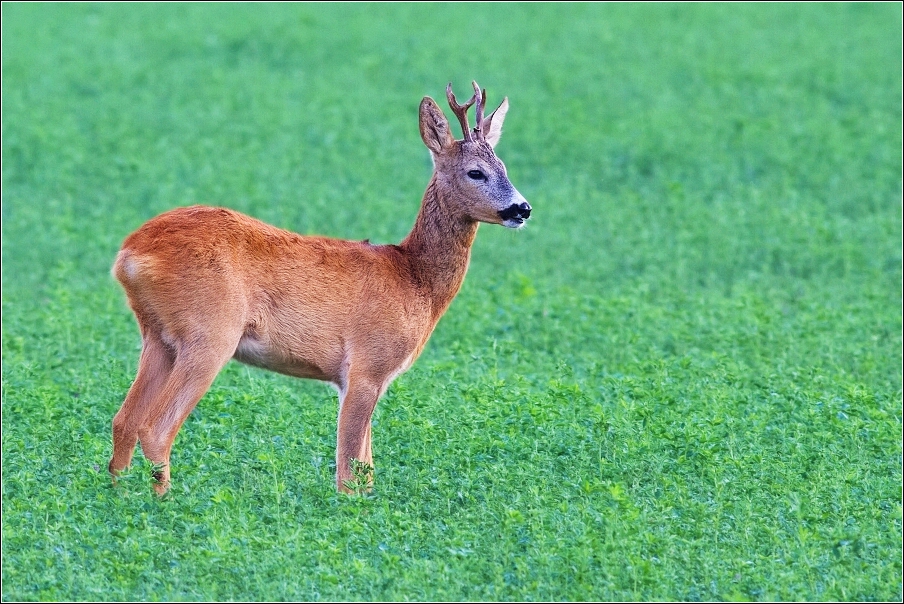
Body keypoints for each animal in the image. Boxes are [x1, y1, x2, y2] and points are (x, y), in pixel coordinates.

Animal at [107, 81, 528, 496]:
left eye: (505, 167)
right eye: (476, 172)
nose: (522, 209)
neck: (413, 278)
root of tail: (130, 253)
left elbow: (366, 470)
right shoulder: (367, 366)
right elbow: (350, 470)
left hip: (158, 336)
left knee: (123, 420)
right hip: (210, 332)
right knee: (155, 428)